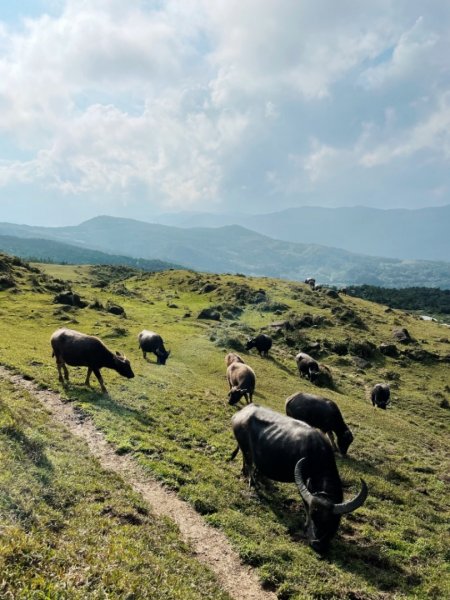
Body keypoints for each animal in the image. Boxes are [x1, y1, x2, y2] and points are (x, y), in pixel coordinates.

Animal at [230, 404, 368, 552]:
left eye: (333, 521)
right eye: (313, 516)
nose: (317, 543)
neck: (316, 457)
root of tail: (241, 413)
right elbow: (305, 504)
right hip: (245, 447)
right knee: (249, 462)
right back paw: (252, 482)